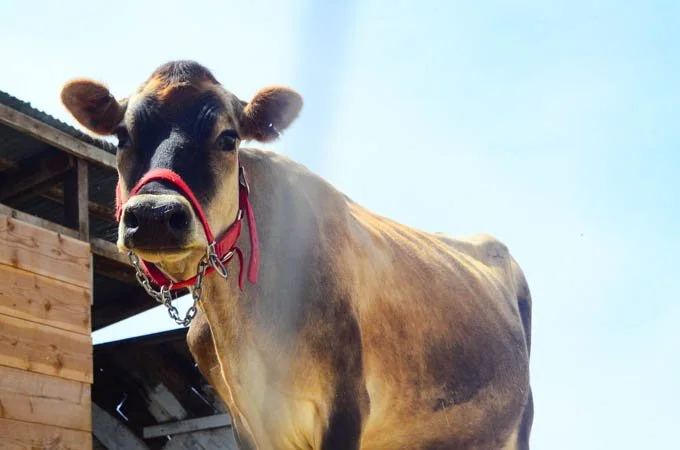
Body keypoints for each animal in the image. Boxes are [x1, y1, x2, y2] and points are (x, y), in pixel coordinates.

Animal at [61, 60, 534, 449]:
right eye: (122, 136)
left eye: (228, 138)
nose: (156, 216)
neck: (248, 329)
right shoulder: (246, 421)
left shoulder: (344, 409)